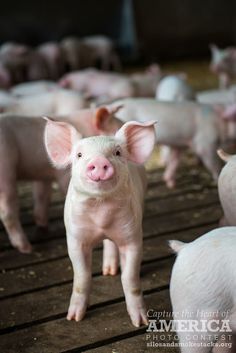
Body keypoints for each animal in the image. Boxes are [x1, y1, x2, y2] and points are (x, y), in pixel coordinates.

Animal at [44, 119, 156, 326]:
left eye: (117, 153)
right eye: (79, 155)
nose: (98, 161)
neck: (101, 216)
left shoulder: (132, 236)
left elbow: (130, 279)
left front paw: (141, 322)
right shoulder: (75, 238)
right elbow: (82, 277)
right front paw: (74, 318)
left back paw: (111, 271)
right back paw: (108, 271)